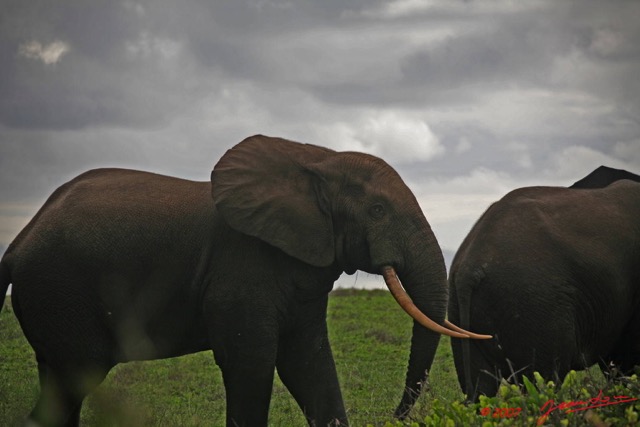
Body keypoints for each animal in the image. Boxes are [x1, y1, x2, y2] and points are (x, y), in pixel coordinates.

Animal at [0, 136, 488, 427]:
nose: (395, 415)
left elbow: (308, 361)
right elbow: (250, 362)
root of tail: (18, 243)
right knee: (73, 380)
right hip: (60, 290)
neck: (317, 160)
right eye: (378, 211)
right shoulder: (241, 266)